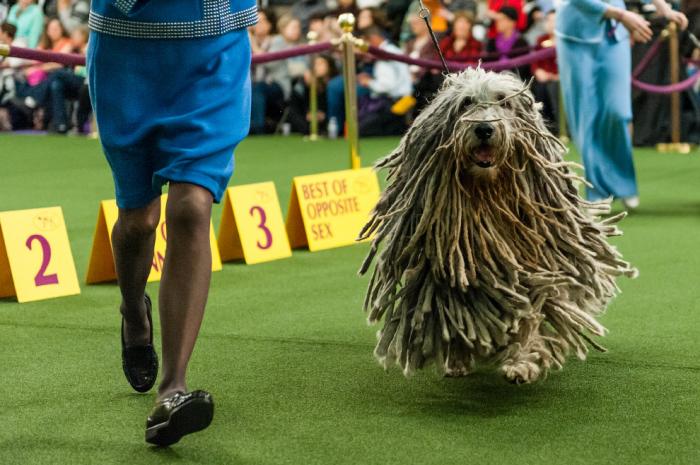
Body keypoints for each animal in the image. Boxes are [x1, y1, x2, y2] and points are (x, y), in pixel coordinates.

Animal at [358, 68, 636, 380]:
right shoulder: (450, 268)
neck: (487, 194)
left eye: (504, 102)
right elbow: (456, 312)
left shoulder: (539, 264)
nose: (484, 129)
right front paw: (458, 358)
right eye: (466, 103)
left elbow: (534, 308)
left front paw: (521, 361)